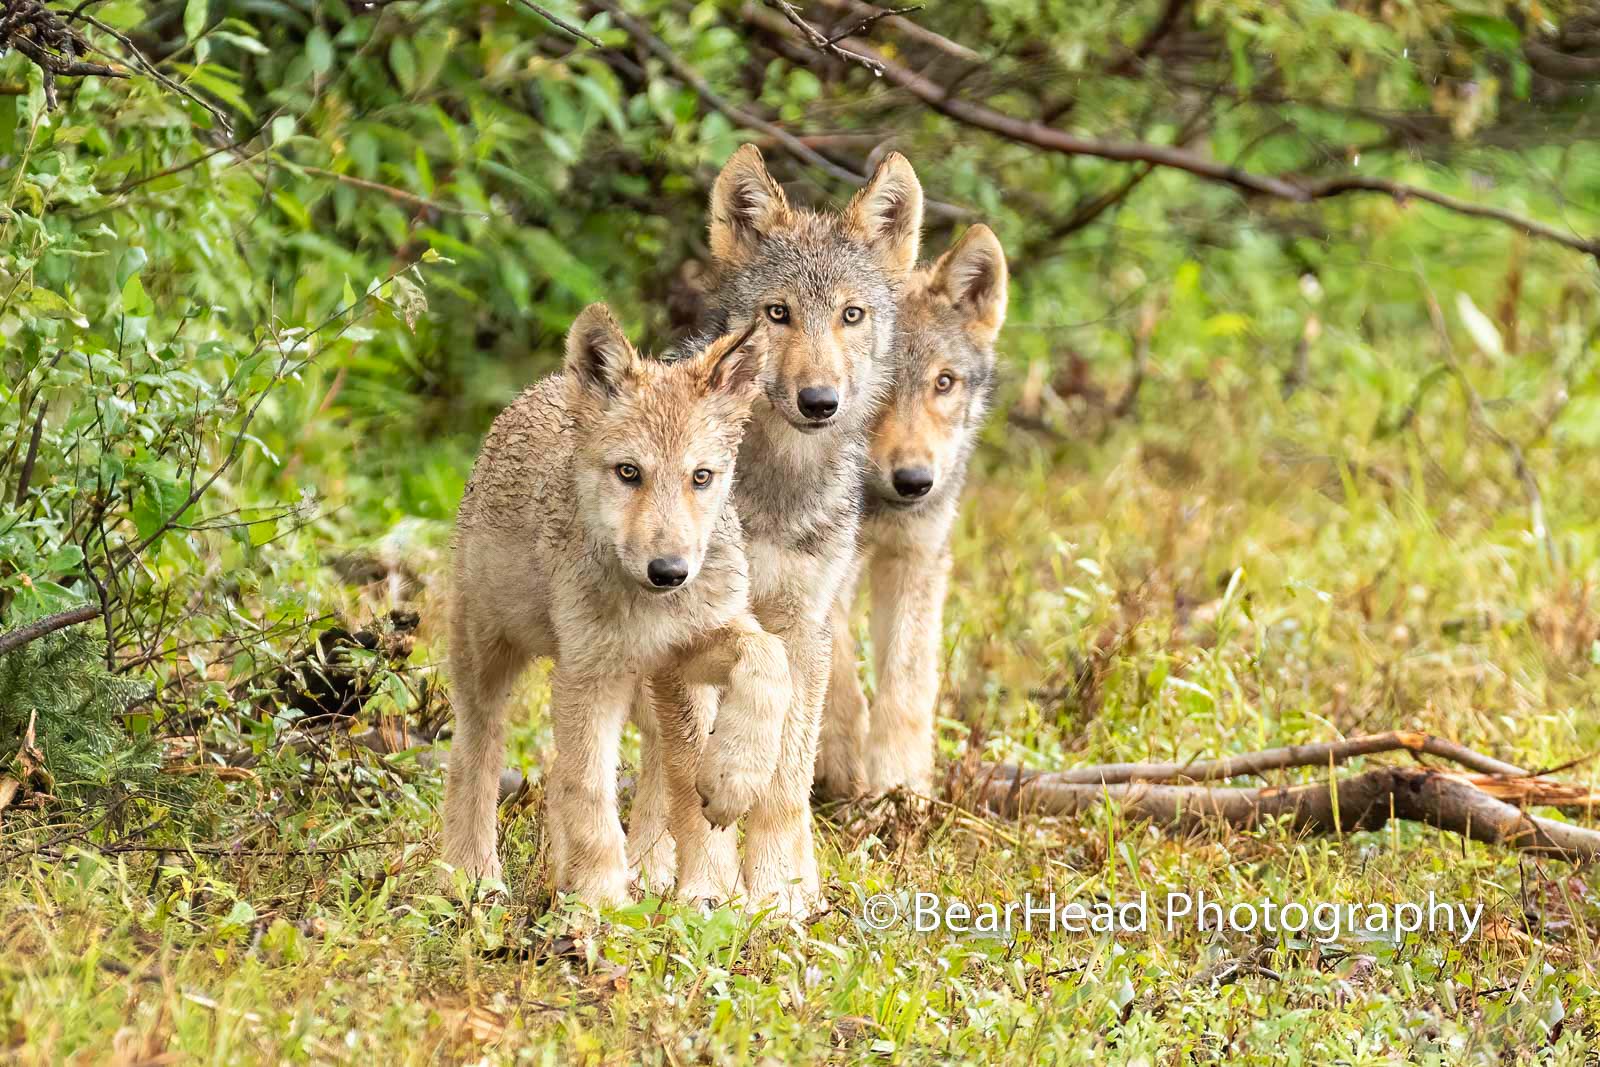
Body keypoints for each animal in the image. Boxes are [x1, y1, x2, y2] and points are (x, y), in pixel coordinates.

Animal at [442, 304, 789, 907]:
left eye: (701, 477)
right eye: (629, 472)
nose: (669, 572)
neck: (650, 608)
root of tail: (538, 389)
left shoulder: (689, 650)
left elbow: (771, 659)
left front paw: (735, 779)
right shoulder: (591, 677)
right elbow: (588, 792)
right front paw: (601, 901)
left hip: (650, 688)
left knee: (658, 766)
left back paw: (655, 873)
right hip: (490, 663)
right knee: (476, 758)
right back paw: (473, 872)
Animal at [629, 145, 925, 915]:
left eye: (850, 314)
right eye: (778, 313)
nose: (819, 401)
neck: (776, 493)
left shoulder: (801, 626)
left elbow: (785, 781)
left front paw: (781, 894)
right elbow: (690, 771)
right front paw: (707, 886)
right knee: (654, 767)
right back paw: (647, 868)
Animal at [812, 224, 1009, 800]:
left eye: (943, 382)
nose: (915, 482)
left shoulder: (917, 559)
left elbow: (908, 681)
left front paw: (902, 788)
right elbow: (843, 681)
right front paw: (843, 770)